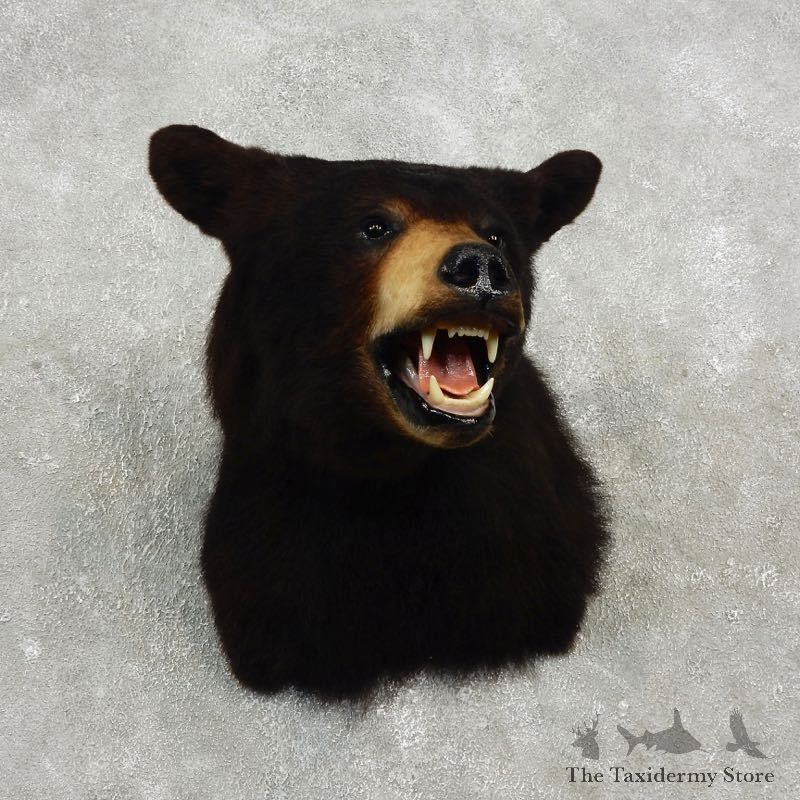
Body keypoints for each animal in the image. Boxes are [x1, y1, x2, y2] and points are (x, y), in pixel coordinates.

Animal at [148, 125, 608, 700]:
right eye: (374, 226)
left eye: (499, 235)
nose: (481, 267)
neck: (387, 472)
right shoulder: (274, 536)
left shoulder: (518, 533)